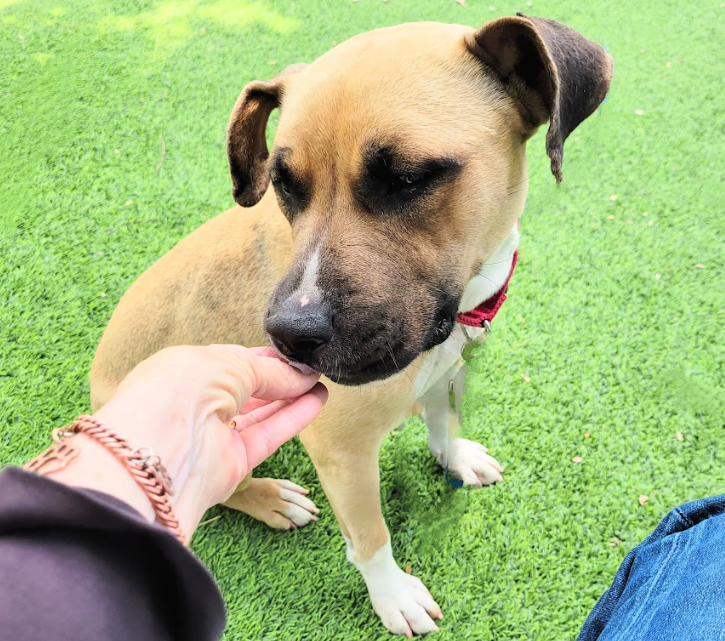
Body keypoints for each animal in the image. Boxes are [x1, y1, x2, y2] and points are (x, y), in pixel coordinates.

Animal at [89, 13, 612, 636]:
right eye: (283, 183)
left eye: (408, 178)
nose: (288, 336)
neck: (463, 306)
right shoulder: (341, 450)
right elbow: (370, 536)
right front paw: (393, 596)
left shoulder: (444, 372)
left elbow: (443, 423)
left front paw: (454, 457)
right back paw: (270, 498)